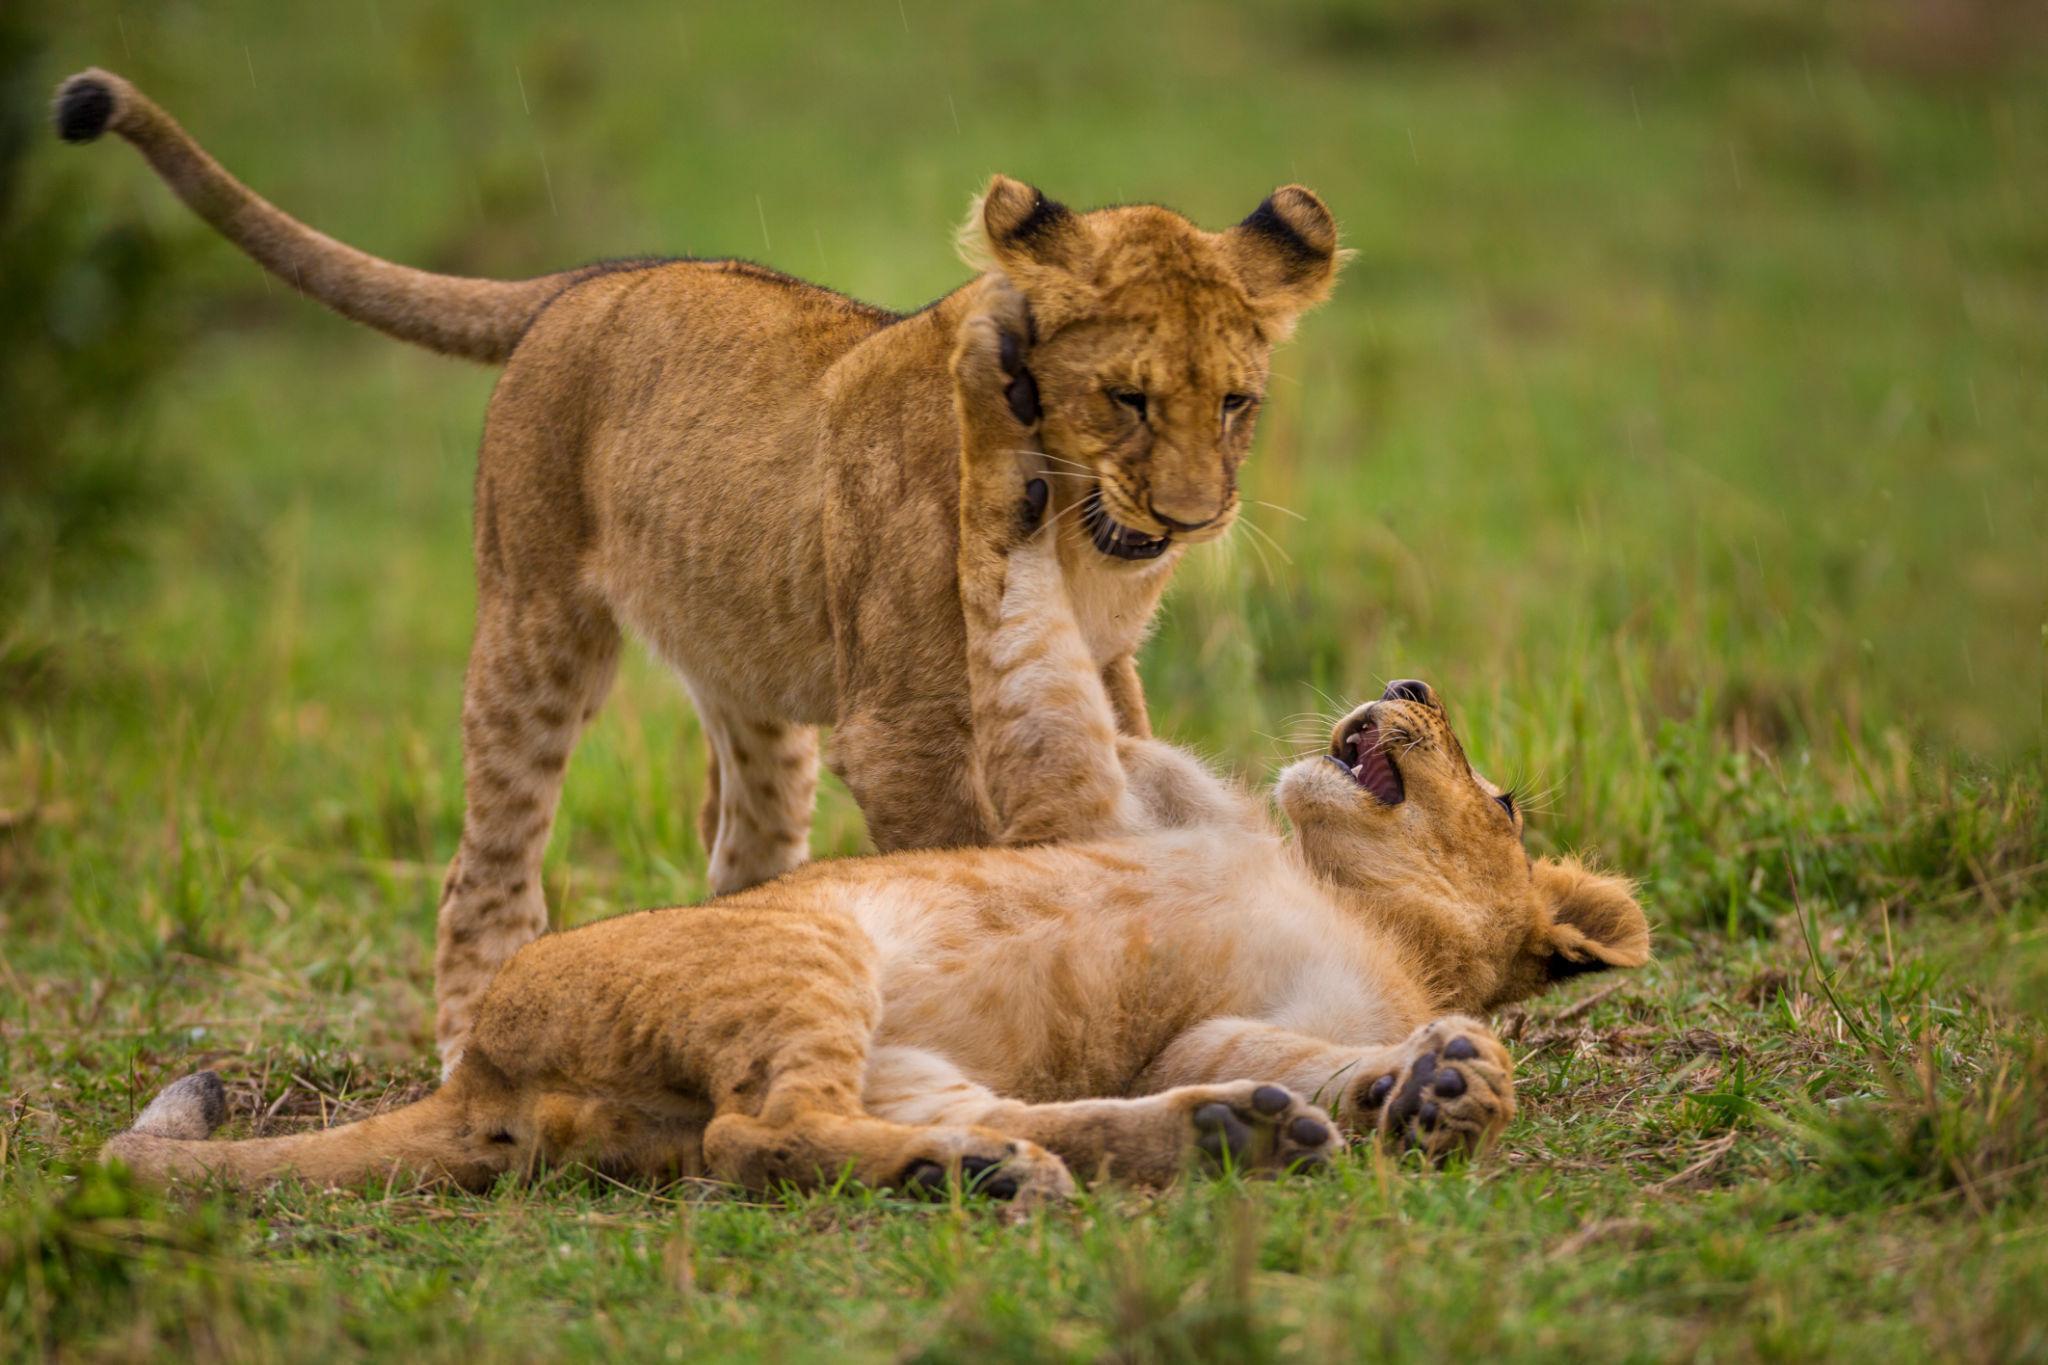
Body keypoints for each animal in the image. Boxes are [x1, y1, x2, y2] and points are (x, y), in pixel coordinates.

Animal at [53, 68, 1345, 1072]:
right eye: (1126, 399)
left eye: (1234, 404)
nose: (1191, 520)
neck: (1083, 535)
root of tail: (587, 282)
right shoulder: (902, 725)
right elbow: (978, 858)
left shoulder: (1105, 671)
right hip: (535, 629)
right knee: (485, 866)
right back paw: (473, 1051)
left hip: (752, 680)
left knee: (745, 849)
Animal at [100, 289, 1650, 1200]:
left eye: (1502, 796)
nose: (1409, 675)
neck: (1345, 892)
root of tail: (481, 1076)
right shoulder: (1101, 799)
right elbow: (1037, 645)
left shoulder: (1220, 1007)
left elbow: (1298, 1041)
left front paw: (1438, 1086)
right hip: (808, 948)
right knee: (760, 1131)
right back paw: (1059, 1159)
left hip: (841, 1004)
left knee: (766, 1133)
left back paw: (1141, 1143)